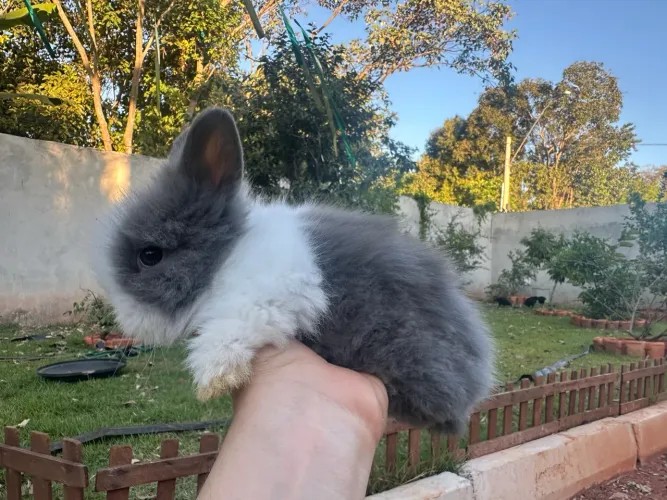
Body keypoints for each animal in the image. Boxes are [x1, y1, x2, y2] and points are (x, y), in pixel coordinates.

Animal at [95, 107, 495, 434]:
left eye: (150, 255)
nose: (124, 320)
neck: (228, 255)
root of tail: (475, 384)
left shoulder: (275, 293)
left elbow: (234, 328)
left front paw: (213, 378)